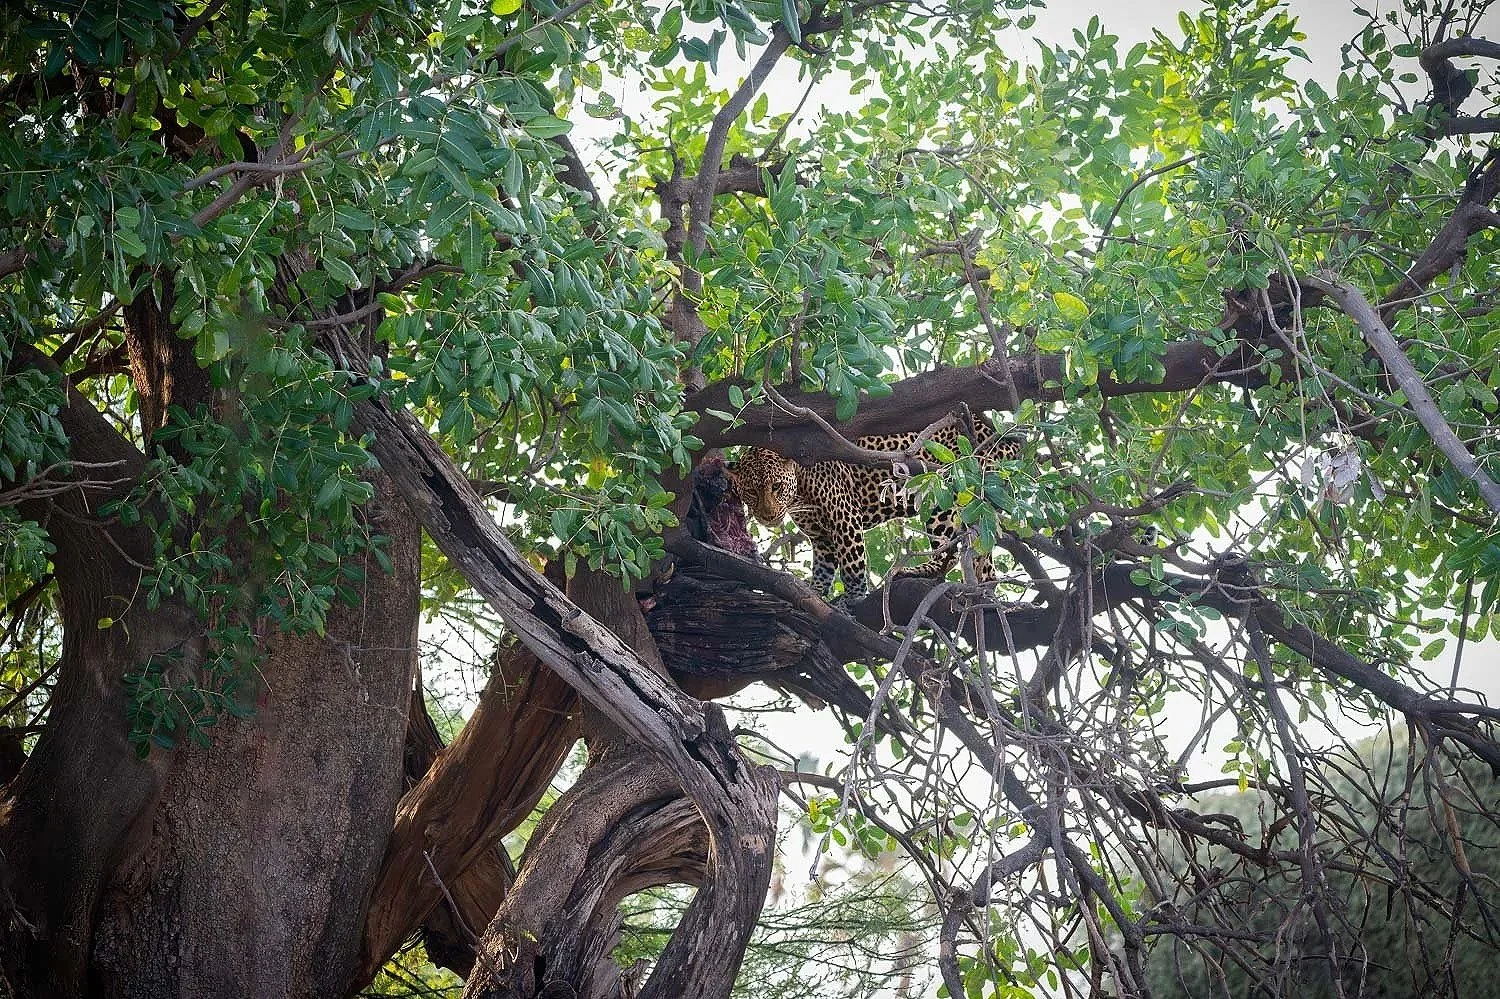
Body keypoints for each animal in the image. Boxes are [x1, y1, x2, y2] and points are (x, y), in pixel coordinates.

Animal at [727, 420, 1022, 602]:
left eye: (776, 486)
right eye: (751, 491)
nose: (767, 515)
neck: (799, 490)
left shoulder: (843, 515)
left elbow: (852, 564)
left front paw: (852, 598)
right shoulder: (820, 537)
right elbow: (823, 568)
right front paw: (816, 592)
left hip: (942, 494)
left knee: (947, 553)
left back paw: (915, 570)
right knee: (984, 563)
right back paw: (984, 592)